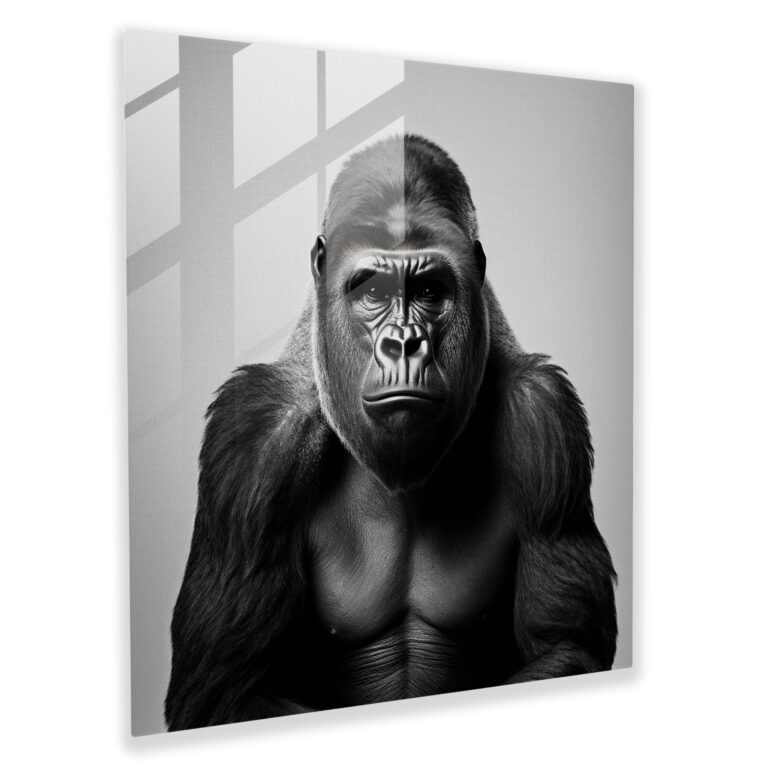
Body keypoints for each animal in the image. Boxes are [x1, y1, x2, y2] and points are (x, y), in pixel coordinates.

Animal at [165, 134, 617, 730]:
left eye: (429, 289)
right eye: (373, 290)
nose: (404, 342)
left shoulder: (544, 417)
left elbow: (567, 646)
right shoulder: (251, 441)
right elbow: (222, 691)